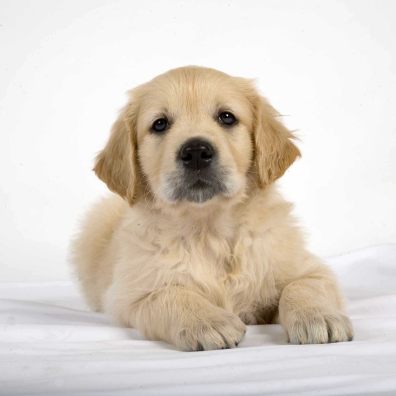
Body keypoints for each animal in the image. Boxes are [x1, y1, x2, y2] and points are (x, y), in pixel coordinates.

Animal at [70, 66, 352, 352]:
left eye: (226, 117)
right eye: (159, 124)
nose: (195, 151)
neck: (209, 229)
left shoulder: (309, 269)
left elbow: (302, 286)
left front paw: (317, 316)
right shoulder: (131, 294)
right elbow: (170, 294)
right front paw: (207, 322)